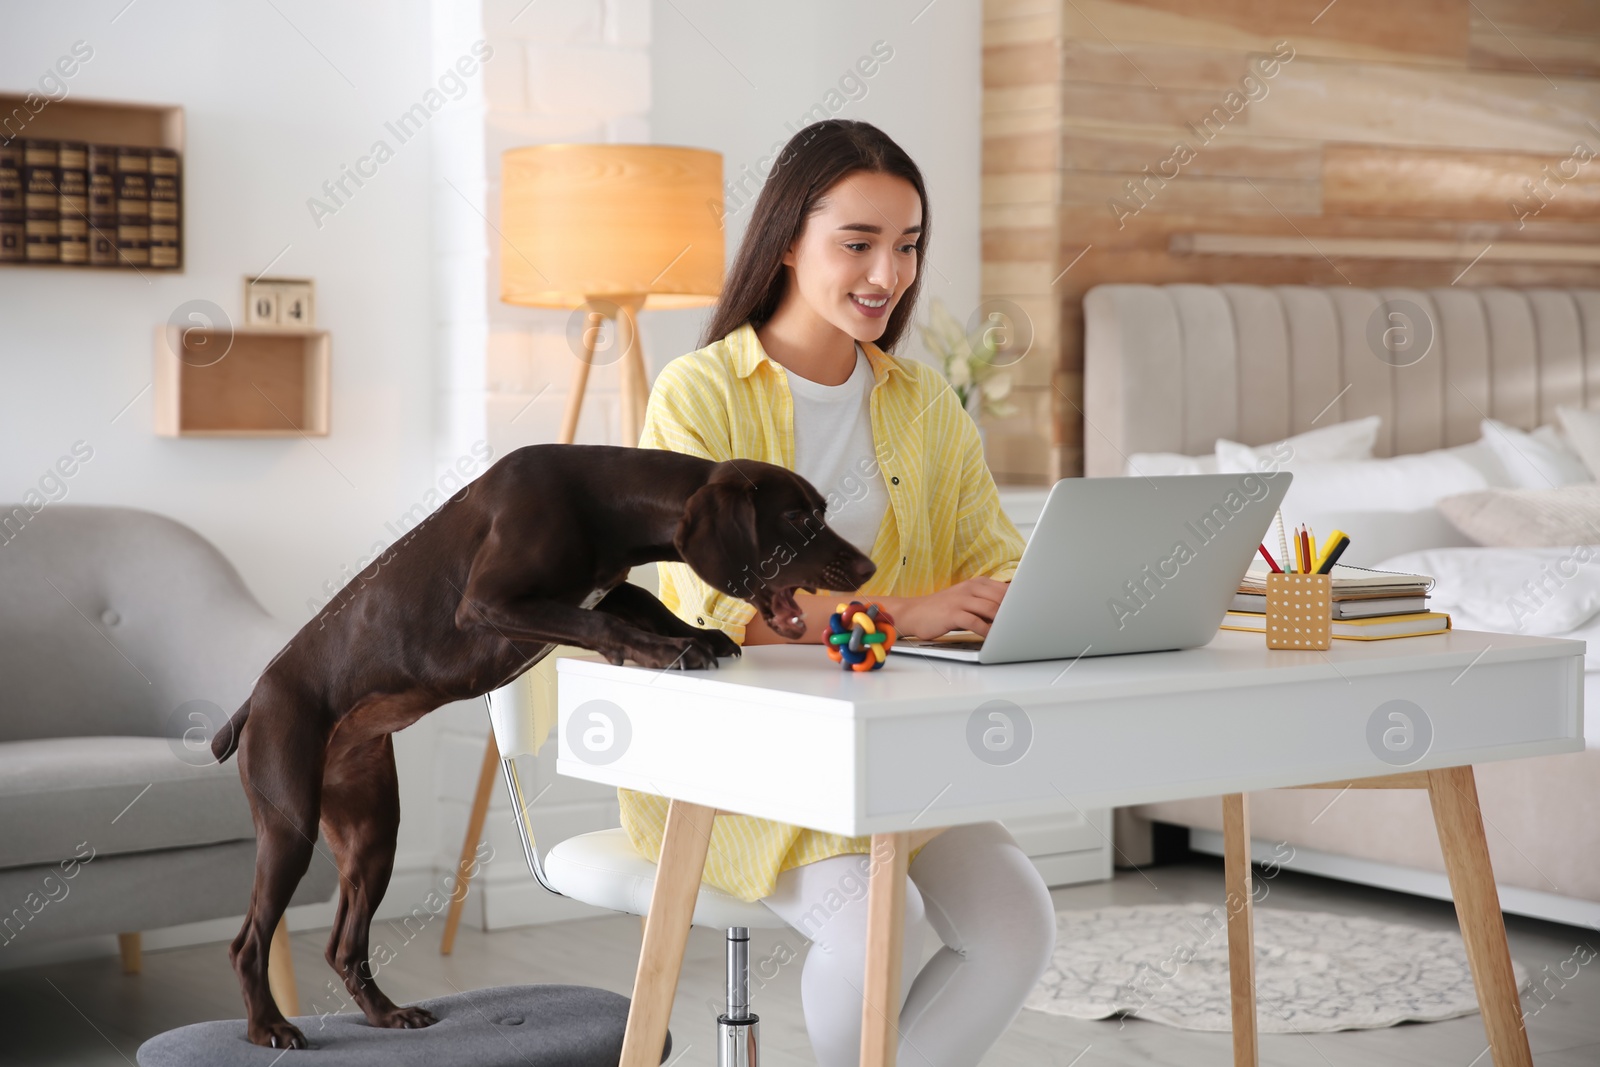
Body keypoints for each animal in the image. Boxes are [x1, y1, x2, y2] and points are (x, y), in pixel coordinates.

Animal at [211, 444, 876, 1049]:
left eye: (819, 511)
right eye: (797, 516)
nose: (869, 568)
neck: (600, 504)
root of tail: (254, 699)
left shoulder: (601, 589)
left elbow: (640, 601)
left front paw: (698, 636)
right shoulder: (488, 604)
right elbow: (603, 622)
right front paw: (668, 651)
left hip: (372, 835)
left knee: (343, 946)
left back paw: (385, 1015)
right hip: (290, 825)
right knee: (248, 943)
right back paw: (268, 1027)